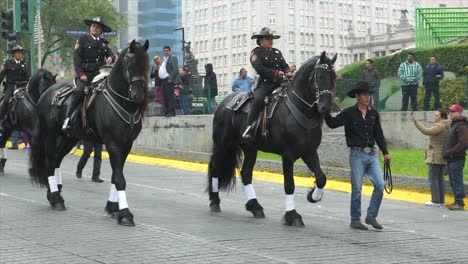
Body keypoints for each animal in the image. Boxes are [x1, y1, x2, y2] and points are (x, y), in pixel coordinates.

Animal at [29, 40, 149, 226]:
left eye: (145, 65)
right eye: (129, 64)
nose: (138, 95)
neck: (122, 102)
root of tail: (48, 91)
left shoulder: (126, 145)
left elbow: (115, 176)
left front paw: (113, 207)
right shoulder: (113, 144)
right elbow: (119, 179)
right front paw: (125, 214)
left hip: (69, 138)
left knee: (56, 160)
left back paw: (54, 193)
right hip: (50, 135)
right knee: (50, 162)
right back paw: (56, 198)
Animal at [208, 52, 336, 227]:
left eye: (333, 77)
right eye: (320, 76)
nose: (326, 107)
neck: (299, 110)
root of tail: (224, 103)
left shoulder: (309, 152)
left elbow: (322, 178)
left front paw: (313, 196)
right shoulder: (287, 155)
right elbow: (289, 185)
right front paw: (292, 215)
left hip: (250, 148)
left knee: (246, 174)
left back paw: (255, 206)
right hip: (223, 145)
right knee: (215, 169)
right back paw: (215, 201)